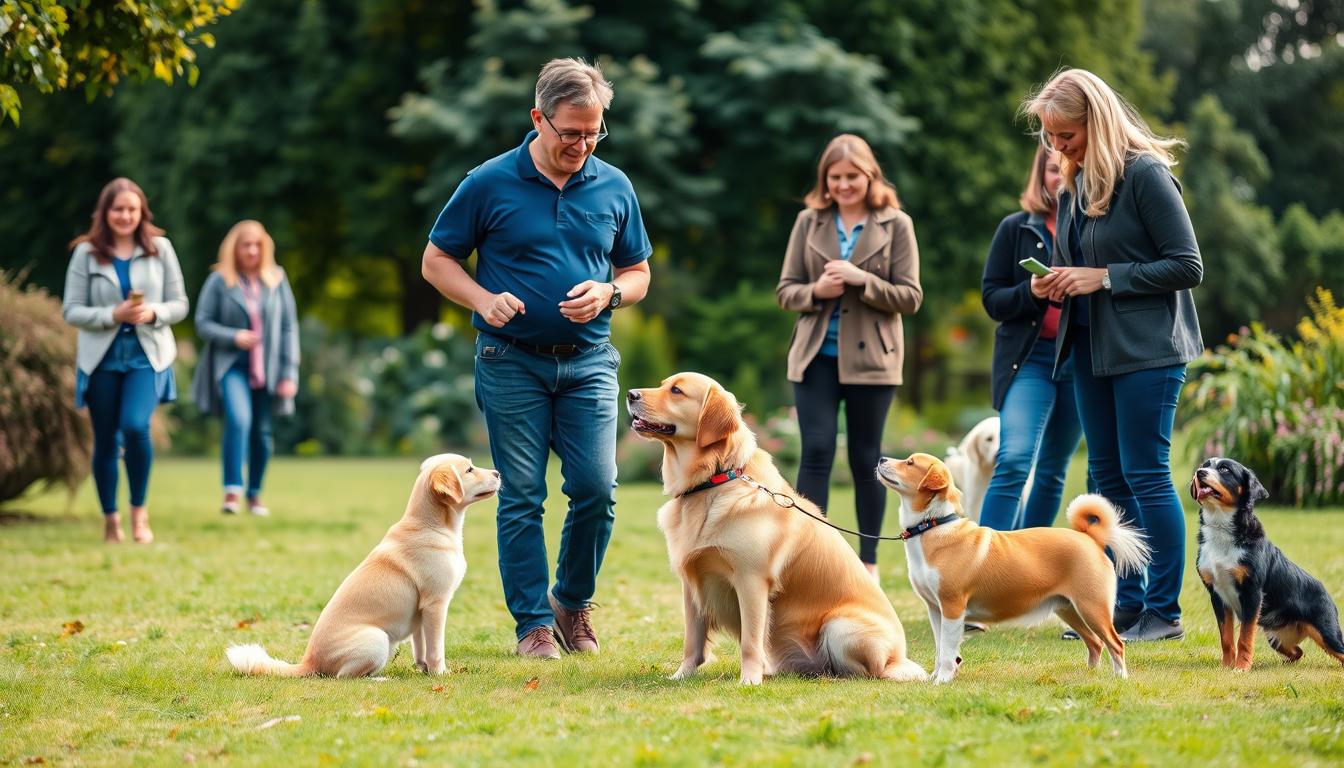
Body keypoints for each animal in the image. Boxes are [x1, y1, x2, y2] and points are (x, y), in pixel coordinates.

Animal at [225, 454, 499, 675]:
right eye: (470, 469)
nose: (498, 473)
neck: (429, 526)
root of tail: (308, 663)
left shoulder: (422, 611)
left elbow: (420, 646)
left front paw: (423, 669)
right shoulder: (436, 604)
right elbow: (436, 649)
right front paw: (440, 673)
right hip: (378, 639)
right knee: (344, 677)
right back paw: (381, 678)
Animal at [876, 451, 1150, 685]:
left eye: (910, 463)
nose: (881, 459)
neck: (934, 524)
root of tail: (1089, 538)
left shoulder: (953, 608)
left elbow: (947, 650)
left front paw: (942, 680)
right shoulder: (935, 610)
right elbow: (940, 647)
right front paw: (936, 677)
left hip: (1093, 607)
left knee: (1115, 644)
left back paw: (1120, 677)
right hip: (1069, 609)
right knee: (1095, 643)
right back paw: (1089, 674)